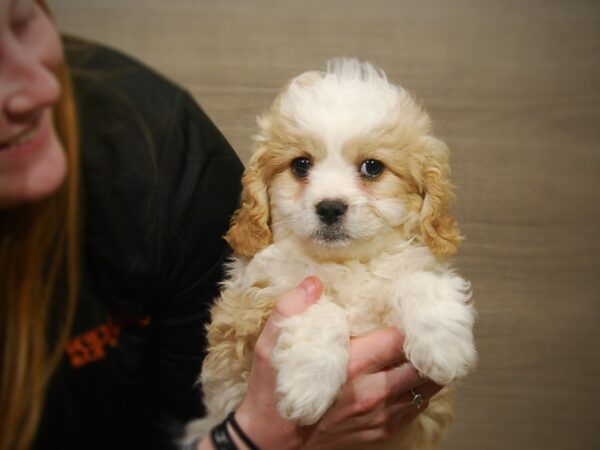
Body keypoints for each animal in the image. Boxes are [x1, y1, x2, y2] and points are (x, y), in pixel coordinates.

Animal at [190, 59, 476, 446]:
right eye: (300, 165)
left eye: (372, 167)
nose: (329, 207)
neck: (345, 263)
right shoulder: (243, 313)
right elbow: (318, 308)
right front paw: (308, 386)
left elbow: (419, 279)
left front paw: (445, 345)